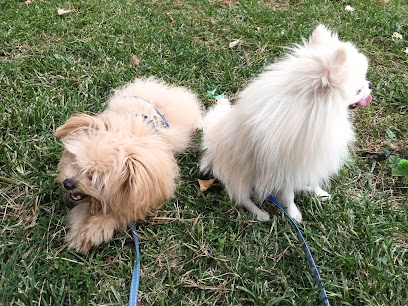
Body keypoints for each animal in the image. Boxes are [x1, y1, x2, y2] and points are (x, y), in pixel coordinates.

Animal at [201, 25, 372, 221]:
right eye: (358, 90)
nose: (370, 85)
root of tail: (211, 144)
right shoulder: (284, 171)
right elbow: (288, 195)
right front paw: (293, 214)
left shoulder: (311, 161)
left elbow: (313, 180)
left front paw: (318, 193)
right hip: (239, 176)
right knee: (242, 198)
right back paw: (261, 214)